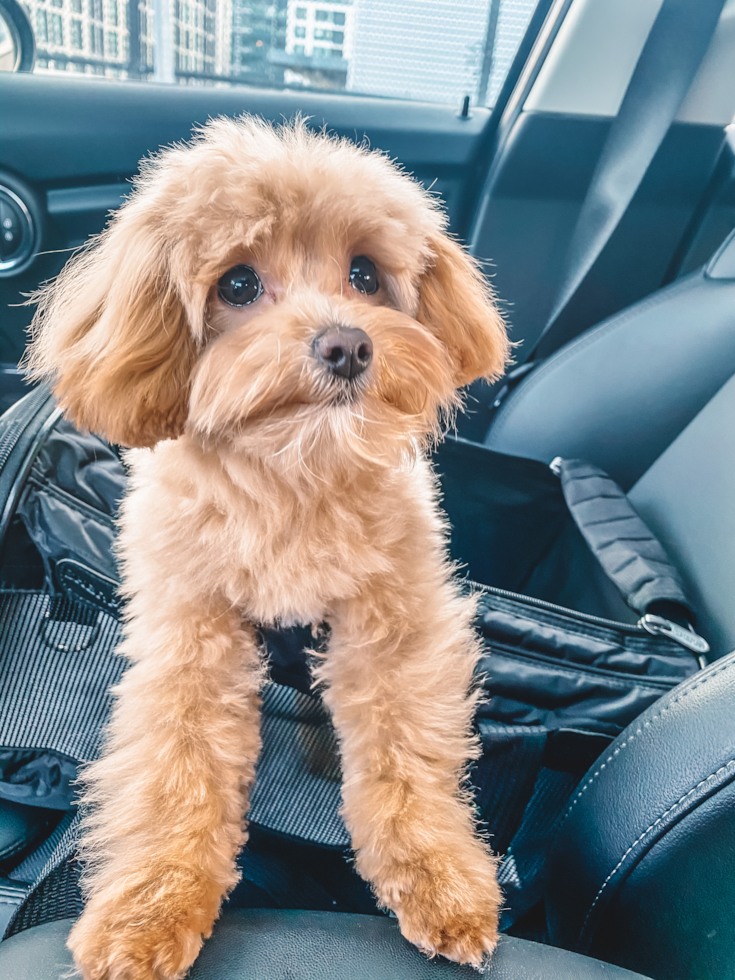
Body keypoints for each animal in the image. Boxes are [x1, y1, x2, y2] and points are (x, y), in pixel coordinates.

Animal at [27, 117, 512, 980]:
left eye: (364, 273)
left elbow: (405, 751)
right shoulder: (191, 631)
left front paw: (438, 876)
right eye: (238, 285)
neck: (294, 471)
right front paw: (150, 907)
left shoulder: (393, 625)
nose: (347, 346)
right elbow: (177, 767)